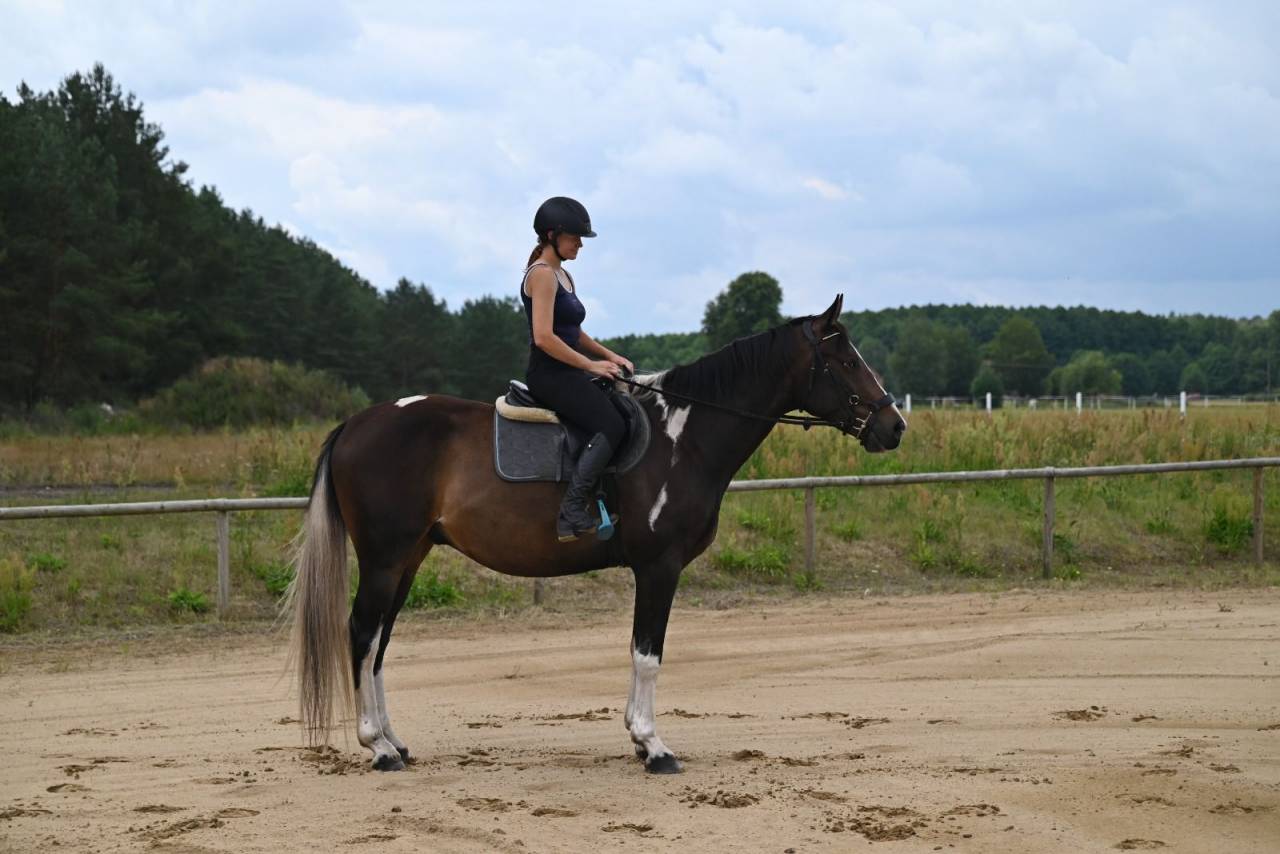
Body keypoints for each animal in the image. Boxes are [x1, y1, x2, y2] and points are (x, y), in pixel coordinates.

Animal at [284, 294, 906, 773]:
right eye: (844, 360)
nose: (893, 426)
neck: (683, 437)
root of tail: (356, 423)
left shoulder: (652, 570)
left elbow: (637, 650)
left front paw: (638, 739)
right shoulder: (659, 566)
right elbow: (648, 654)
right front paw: (654, 746)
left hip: (407, 560)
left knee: (379, 645)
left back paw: (394, 741)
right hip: (385, 559)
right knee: (362, 636)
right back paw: (377, 748)